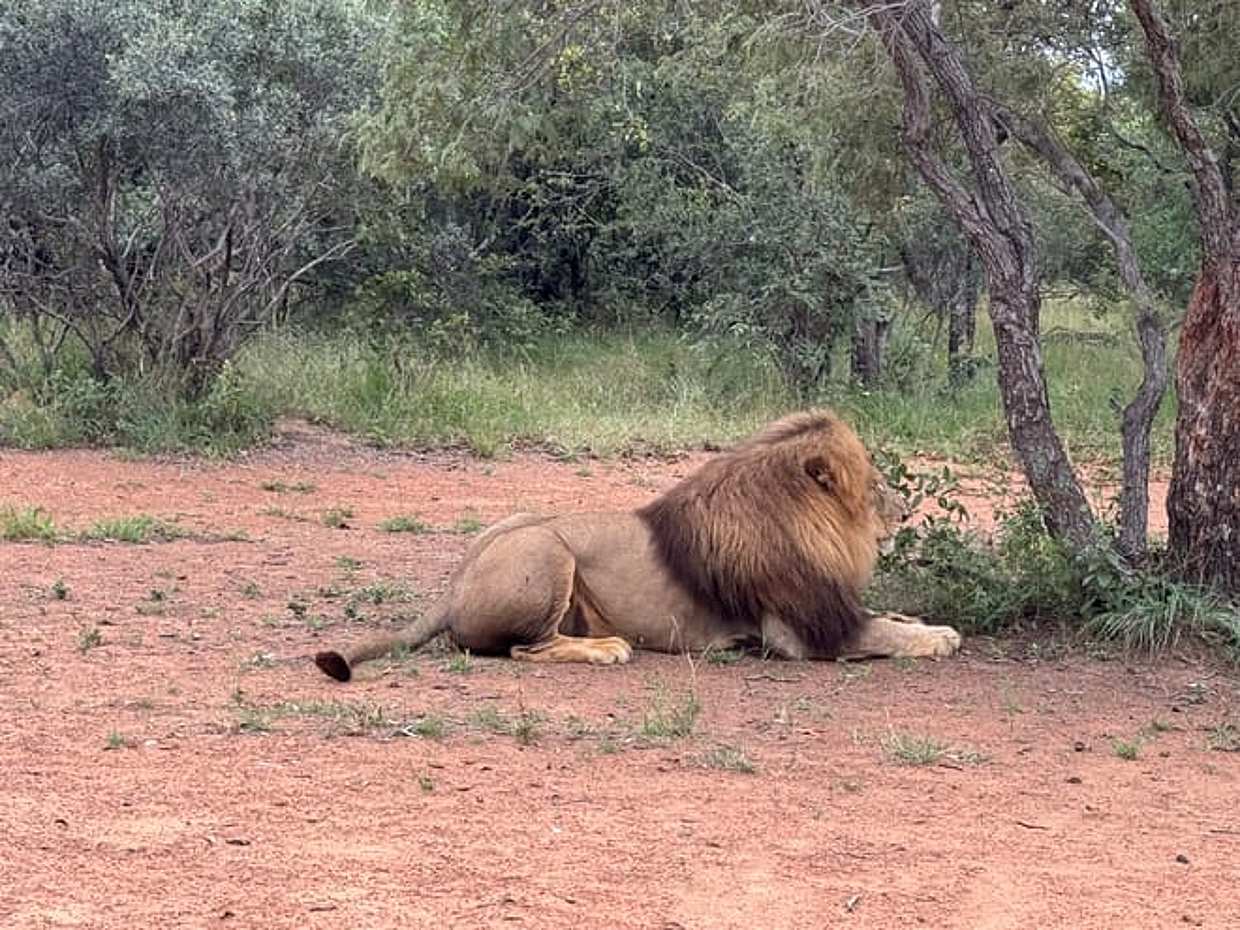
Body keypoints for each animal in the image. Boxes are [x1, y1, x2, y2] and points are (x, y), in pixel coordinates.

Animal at [314, 409, 961, 682]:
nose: (905, 511)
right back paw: (605, 650)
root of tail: (453, 587)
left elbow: (885, 616)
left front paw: (922, 620)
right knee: (525, 650)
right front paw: (941, 636)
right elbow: (884, 635)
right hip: (548, 550)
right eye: (877, 485)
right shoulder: (801, 634)